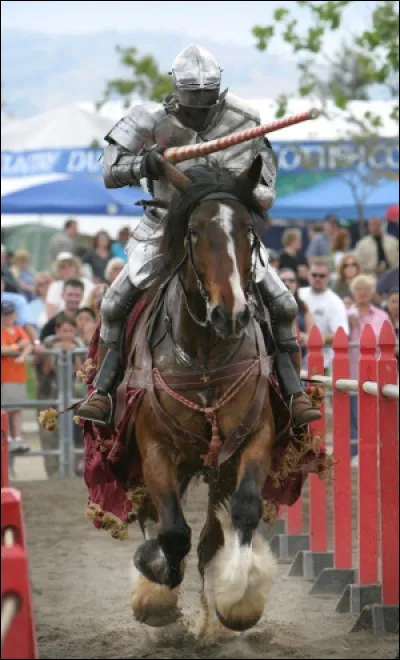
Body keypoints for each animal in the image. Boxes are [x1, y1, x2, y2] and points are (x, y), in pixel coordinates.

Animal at [122, 153, 278, 636]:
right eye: (193, 232)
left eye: (248, 230)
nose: (232, 313)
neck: (205, 355)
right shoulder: (154, 448)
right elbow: (172, 533)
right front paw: (154, 587)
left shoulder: (252, 438)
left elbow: (244, 510)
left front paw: (239, 601)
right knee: (156, 520)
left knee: (210, 538)